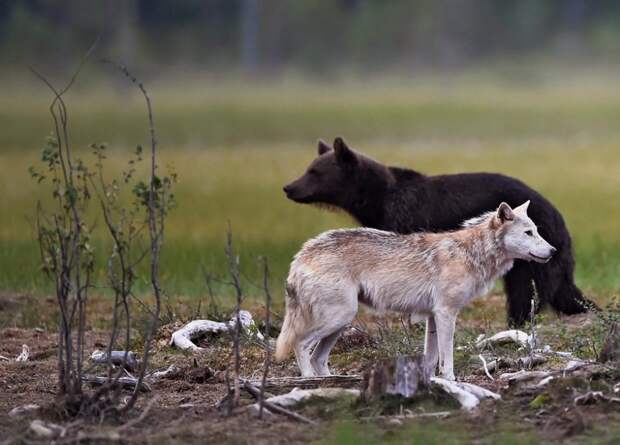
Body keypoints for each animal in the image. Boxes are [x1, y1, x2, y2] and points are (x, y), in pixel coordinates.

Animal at [274, 201, 556, 378]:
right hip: (339, 317)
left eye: (537, 231)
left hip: (341, 322)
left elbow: (430, 359)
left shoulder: (432, 317)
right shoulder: (445, 314)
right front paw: (451, 380)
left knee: (318, 358)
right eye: (528, 233)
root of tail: (301, 255)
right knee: (301, 345)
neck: (471, 254)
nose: (553, 251)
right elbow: (446, 357)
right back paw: (309, 381)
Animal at [284, 136, 592, 326]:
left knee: (529, 291)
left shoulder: (406, 217)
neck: (375, 200)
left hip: (534, 255)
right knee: (559, 291)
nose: (289, 187)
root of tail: (556, 213)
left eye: (314, 172)